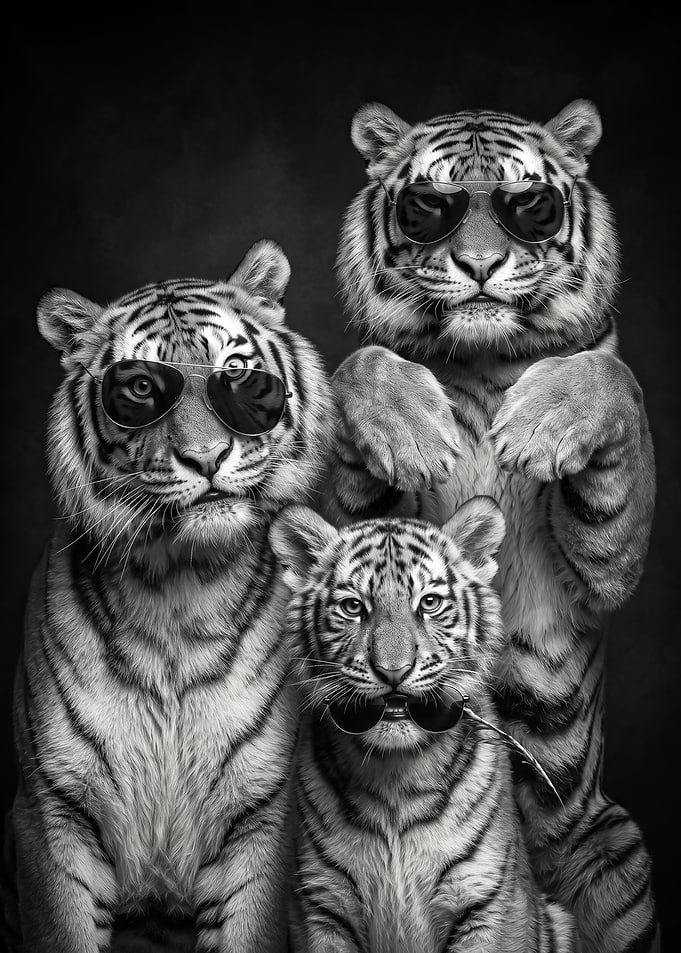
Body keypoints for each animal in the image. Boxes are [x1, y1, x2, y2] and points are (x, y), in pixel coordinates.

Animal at [0, 239, 335, 953]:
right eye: (140, 389)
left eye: (236, 370)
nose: (206, 457)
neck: (180, 590)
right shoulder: (50, 815)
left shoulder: (264, 818)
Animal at [269, 496, 580, 953]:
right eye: (353, 607)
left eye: (429, 603)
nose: (393, 671)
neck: (394, 776)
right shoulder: (322, 905)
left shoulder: (485, 902)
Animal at [325, 100, 659, 953]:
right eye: (430, 206)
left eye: (526, 204)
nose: (478, 265)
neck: (479, 359)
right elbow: (356, 363)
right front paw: (412, 431)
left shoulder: (604, 564)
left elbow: (612, 374)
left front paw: (539, 426)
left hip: (615, 839)